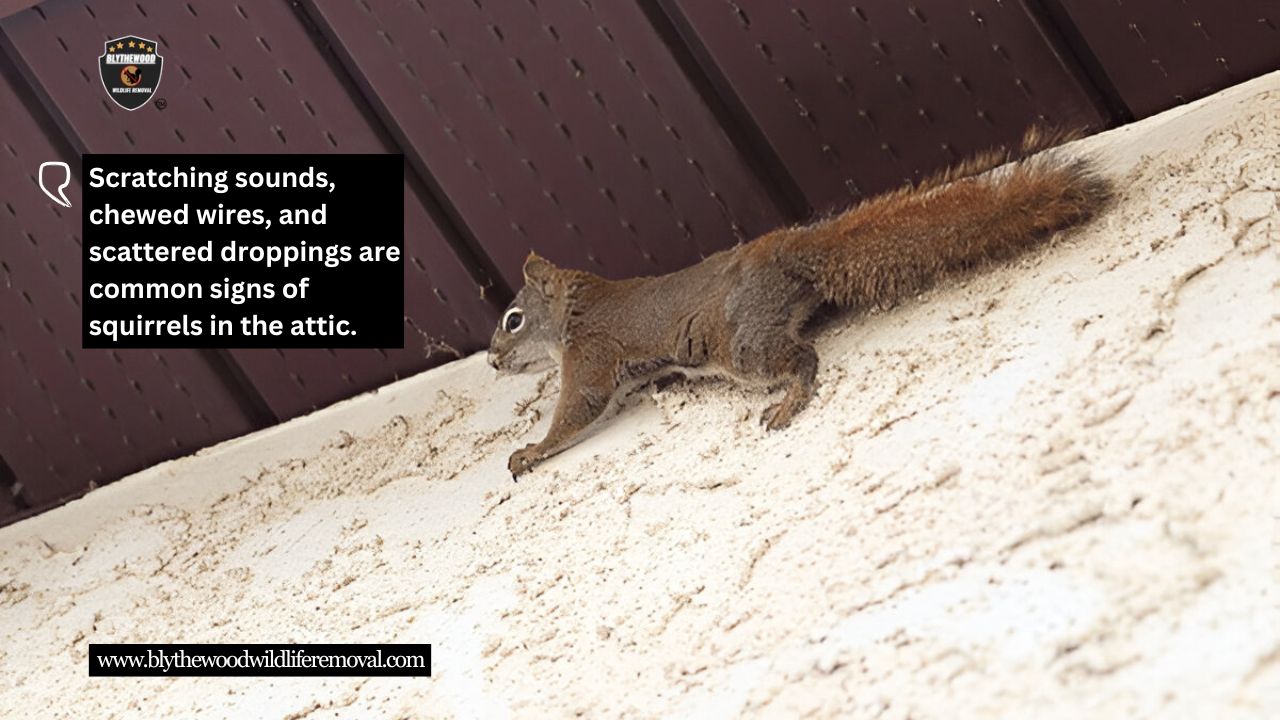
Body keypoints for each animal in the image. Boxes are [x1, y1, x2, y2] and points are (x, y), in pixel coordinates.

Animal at [488, 128, 1113, 478]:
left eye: (513, 320)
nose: (493, 360)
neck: (572, 308)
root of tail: (790, 249)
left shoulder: (591, 351)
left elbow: (581, 406)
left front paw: (531, 451)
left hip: (738, 343)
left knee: (800, 358)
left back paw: (789, 402)